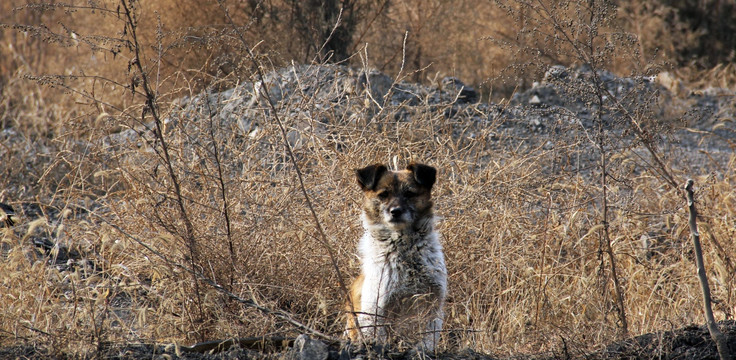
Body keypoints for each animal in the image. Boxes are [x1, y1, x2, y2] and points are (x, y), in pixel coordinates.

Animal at [346, 162, 448, 350]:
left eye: (409, 193)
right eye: (383, 195)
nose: (396, 211)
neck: (405, 250)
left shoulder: (433, 305)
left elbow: (427, 339)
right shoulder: (376, 308)